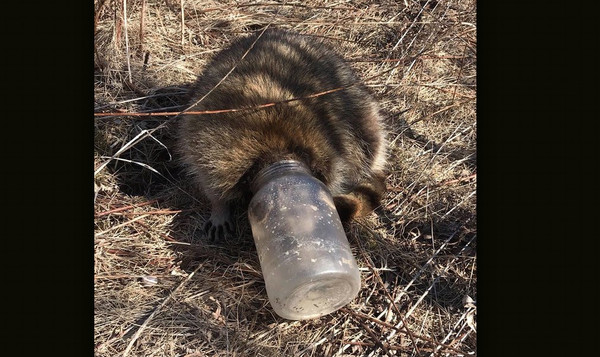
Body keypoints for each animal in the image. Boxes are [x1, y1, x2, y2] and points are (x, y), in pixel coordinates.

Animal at [176, 29, 386, 241]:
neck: (275, 149)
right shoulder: (209, 135)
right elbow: (206, 173)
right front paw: (219, 205)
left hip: (361, 110)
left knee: (370, 139)